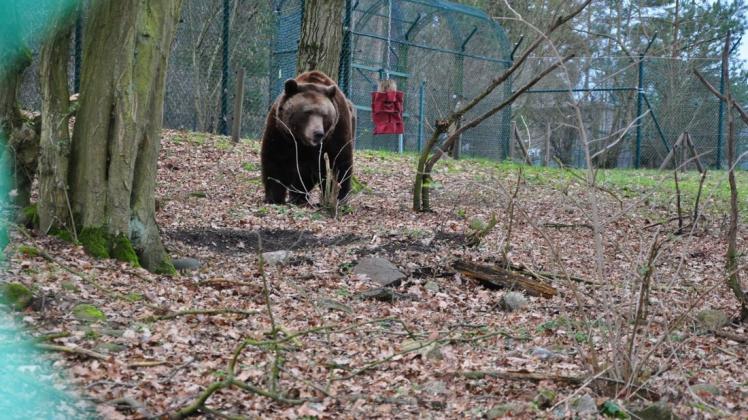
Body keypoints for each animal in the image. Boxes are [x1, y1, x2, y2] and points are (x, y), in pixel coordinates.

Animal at [262, 70, 358, 205]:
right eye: (307, 112)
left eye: (325, 114)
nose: (318, 133)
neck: (302, 141)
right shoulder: (281, 131)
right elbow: (275, 160)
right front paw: (273, 198)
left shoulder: (337, 130)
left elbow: (339, 162)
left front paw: (339, 198)